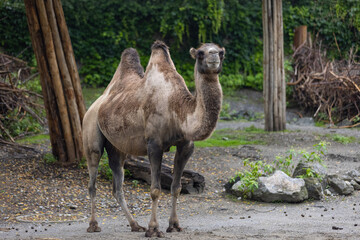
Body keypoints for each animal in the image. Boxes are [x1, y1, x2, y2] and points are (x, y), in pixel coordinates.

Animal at [82, 40, 225, 237]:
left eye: (221, 52)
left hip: (117, 147)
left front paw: (174, 225)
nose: (214, 56)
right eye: (200, 53)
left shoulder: (185, 145)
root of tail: (94, 105)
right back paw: (94, 225)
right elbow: (155, 189)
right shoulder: (154, 144)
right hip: (91, 133)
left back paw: (135, 225)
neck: (176, 107)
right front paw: (153, 229)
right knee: (92, 181)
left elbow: (176, 187)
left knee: (117, 185)